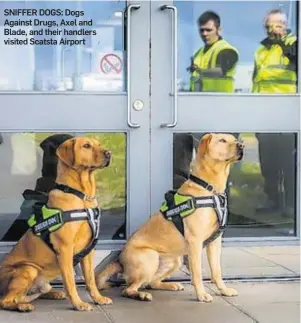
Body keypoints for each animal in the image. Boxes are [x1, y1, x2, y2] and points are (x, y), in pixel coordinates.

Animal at [0, 137, 112, 314]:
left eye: (99, 145)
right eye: (86, 146)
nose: (109, 153)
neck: (81, 196)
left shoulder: (89, 250)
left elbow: (90, 279)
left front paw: (98, 298)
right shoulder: (65, 249)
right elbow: (70, 282)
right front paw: (78, 304)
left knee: (28, 294)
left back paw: (53, 294)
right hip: (28, 269)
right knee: (6, 300)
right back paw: (22, 306)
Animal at [96, 134, 244, 304]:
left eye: (234, 139)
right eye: (222, 140)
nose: (241, 145)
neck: (210, 189)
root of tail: (120, 260)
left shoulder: (215, 241)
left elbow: (217, 270)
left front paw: (224, 290)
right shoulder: (195, 241)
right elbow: (197, 273)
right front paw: (201, 294)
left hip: (174, 260)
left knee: (151, 283)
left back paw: (170, 285)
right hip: (150, 257)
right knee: (129, 288)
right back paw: (142, 295)